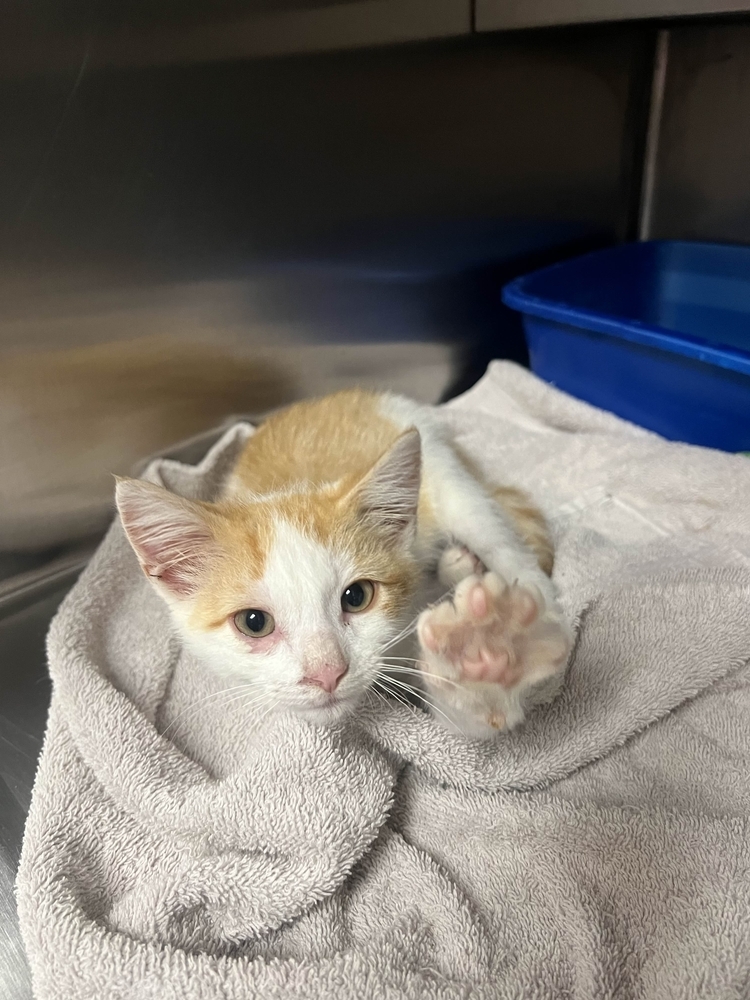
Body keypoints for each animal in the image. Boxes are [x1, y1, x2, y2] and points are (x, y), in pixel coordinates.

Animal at [119, 386, 576, 740]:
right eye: (253, 622)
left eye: (357, 596)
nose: (326, 674)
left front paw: (487, 649)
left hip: (445, 474)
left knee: (498, 537)